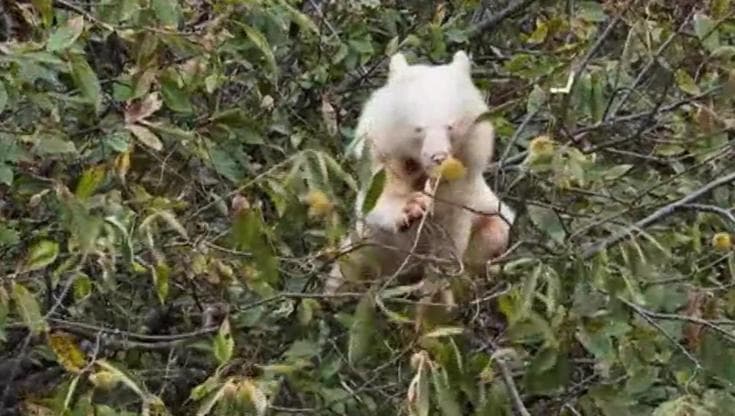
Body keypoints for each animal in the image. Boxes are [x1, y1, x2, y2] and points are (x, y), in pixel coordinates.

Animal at [325, 50, 515, 299]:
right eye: (418, 129)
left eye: (450, 126)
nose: (439, 157)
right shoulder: (383, 156)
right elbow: (379, 197)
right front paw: (411, 208)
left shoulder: (462, 184)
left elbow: (450, 235)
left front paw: (437, 287)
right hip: (362, 250)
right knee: (344, 272)